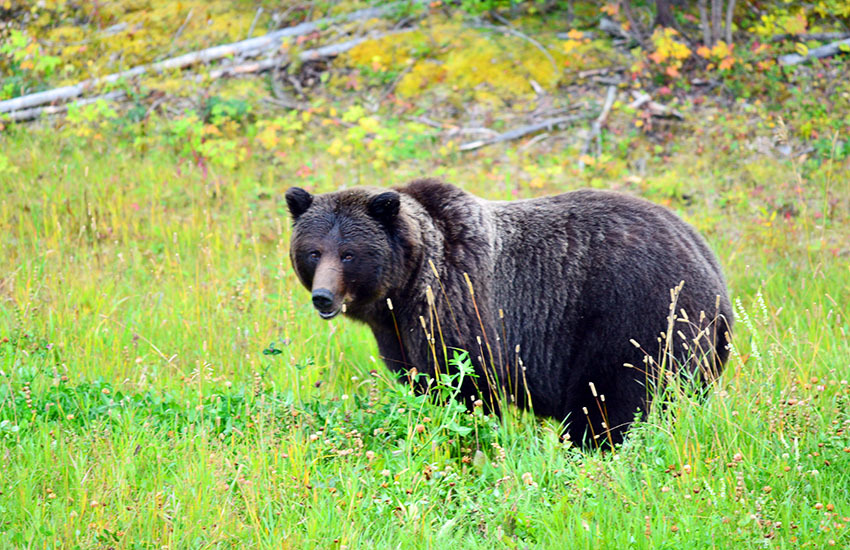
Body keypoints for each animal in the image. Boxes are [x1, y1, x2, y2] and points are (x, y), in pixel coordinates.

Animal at [284, 179, 728, 446]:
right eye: (313, 251)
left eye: (348, 253)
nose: (323, 296)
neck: (408, 284)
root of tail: (714, 274)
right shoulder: (399, 331)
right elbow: (423, 381)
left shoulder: (462, 305)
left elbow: (466, 387)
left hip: (634, 317)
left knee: (613, 399)